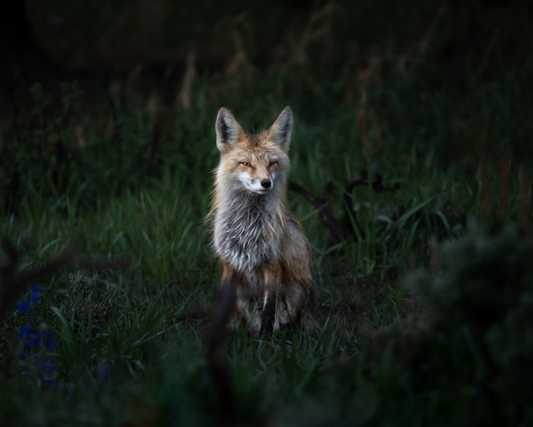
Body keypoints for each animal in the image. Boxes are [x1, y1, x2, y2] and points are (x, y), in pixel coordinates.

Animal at [209, 105, 316, 336]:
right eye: (246, 163)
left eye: (272, 163)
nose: (266, 183)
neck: (246, 226)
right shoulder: (229, 262)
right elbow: (221, 307)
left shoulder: (272, 263)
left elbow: (269, 312)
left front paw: (263, 341)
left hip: (295, 292)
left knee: (282, 323)